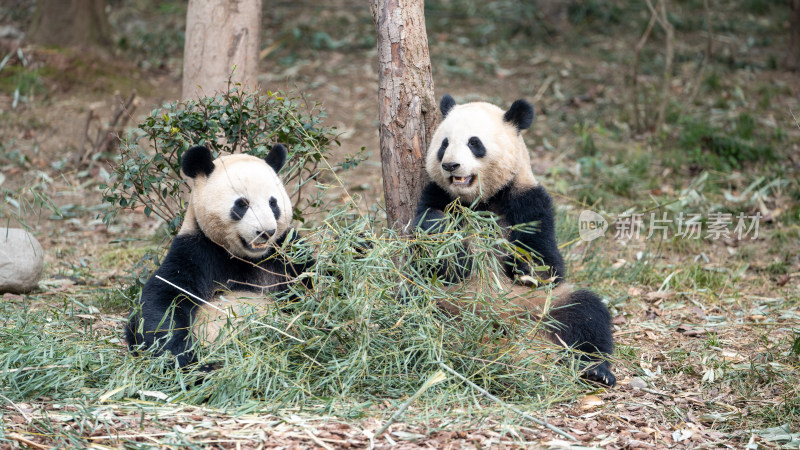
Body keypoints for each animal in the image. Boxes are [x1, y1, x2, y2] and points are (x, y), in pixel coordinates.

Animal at [126, 146, 310, 368]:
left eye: (273, 203)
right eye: (242, 204)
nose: (266, 232)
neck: (244, 257)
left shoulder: (285, 251)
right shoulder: (196, 252)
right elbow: (163, 301)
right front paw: (185, 358)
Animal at [416, 93, 616, 384]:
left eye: (474, 143)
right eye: (444, 144)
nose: (450, 165)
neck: (479, 200)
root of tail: (498, 323)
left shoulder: (528, 200)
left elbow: (549, 264)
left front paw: (526, 266)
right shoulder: (436, 194)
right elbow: (433, 256)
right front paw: (444, 234)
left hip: (542, 304)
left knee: (586, 313)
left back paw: (596, 370)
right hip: (443, 298)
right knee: (413, 305)